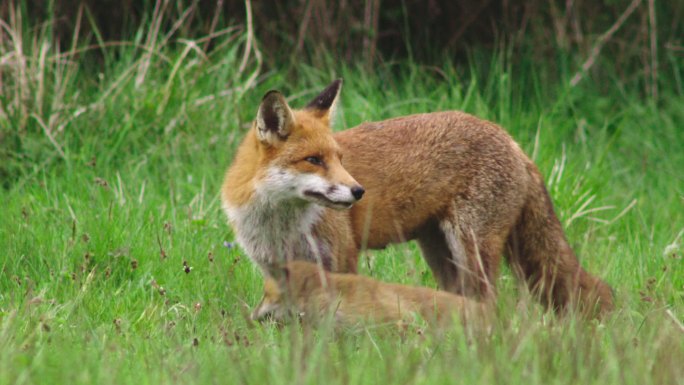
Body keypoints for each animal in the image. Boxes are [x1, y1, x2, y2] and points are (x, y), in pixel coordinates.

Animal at [223, 79, 616, 316]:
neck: (280, 224)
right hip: (442, 255)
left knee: (491, 304)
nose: (358, 191)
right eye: (314, 160)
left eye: (339, 159)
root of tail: (513, 141)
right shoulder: (277, 271)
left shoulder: (341, 258)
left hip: (470, 248)